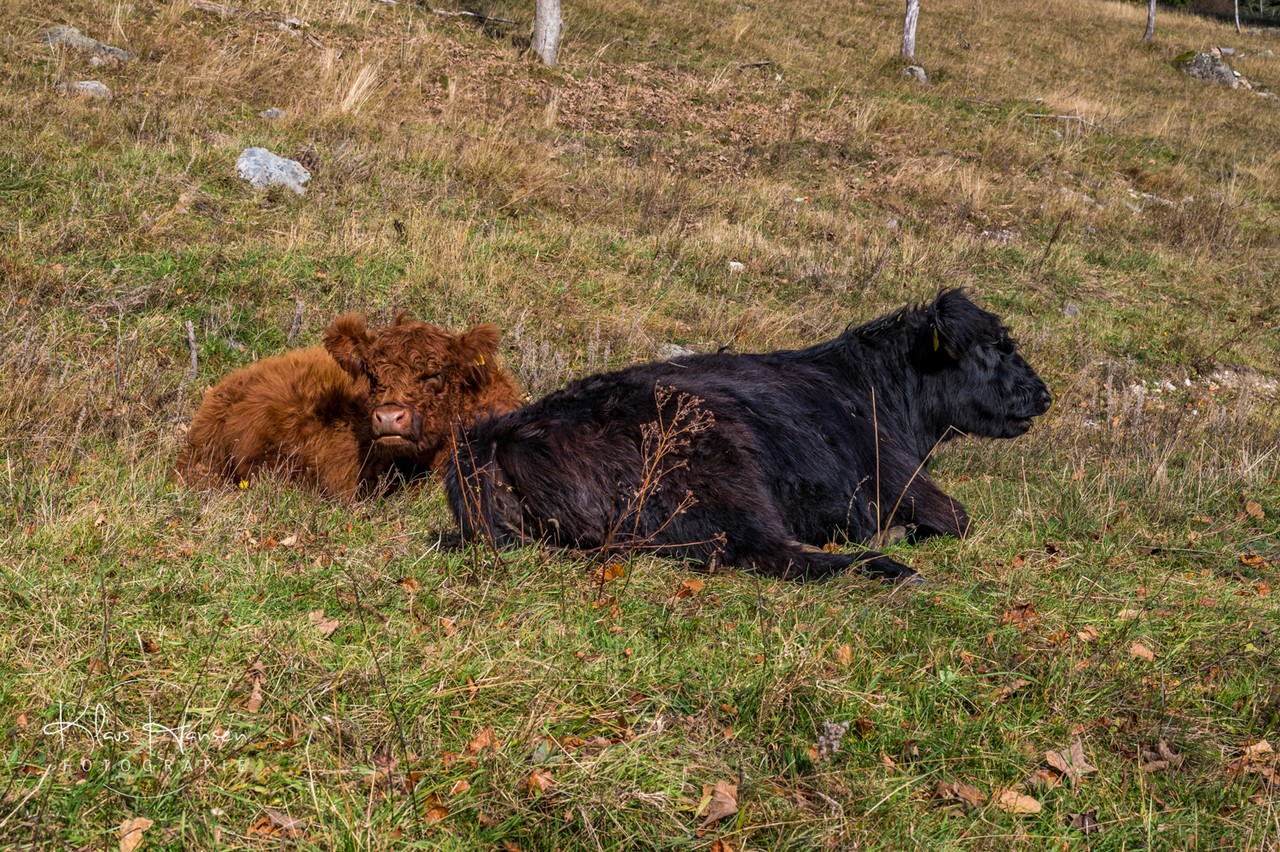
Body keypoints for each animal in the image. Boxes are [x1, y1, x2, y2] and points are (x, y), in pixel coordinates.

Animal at [445, 290, 1050, 583]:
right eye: (997, 347)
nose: (1043, 396)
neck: (871, 388)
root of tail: (500, 436)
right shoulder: (906, 484)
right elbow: (962, 520)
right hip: (725, 475)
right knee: (776, 554)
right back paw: (891, 566)